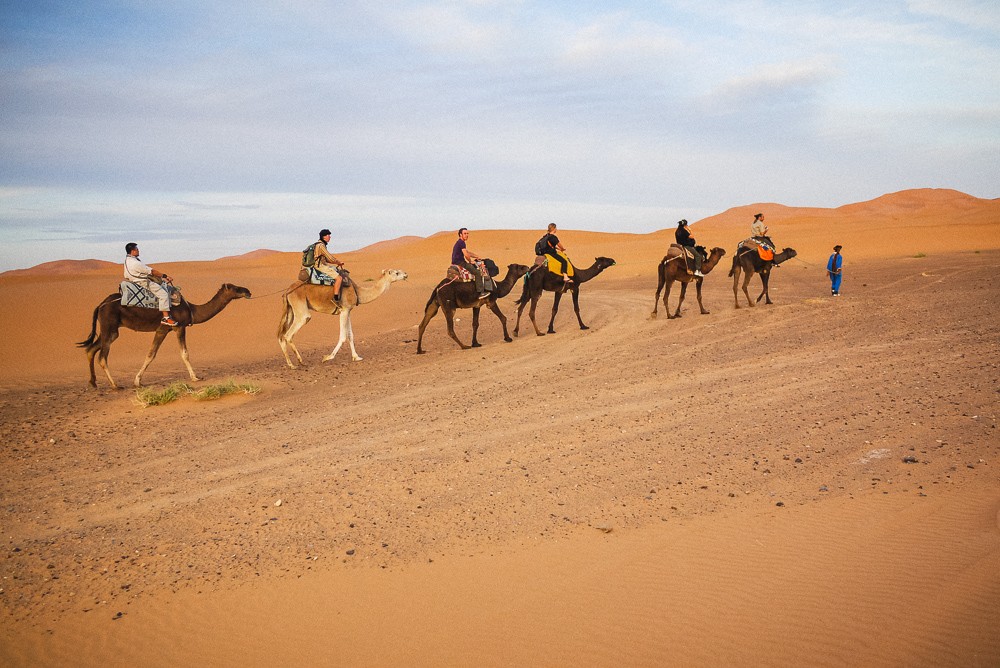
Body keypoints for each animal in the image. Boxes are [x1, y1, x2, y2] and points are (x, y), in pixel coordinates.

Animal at [76, 280, 252, 386]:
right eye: (236, 288)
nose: (248, 291)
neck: (191, 309)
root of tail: (100, 305)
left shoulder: (163, 329)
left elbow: (151, 354)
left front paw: (137, 381)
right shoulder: (178, 327)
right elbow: (183, 354)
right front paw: (195, 377)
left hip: (109, 329)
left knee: (90, 349)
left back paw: (93, 382)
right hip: (109, 326)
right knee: (102, 356)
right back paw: (115, 385)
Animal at [278, 268, 406, 370]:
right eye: (396, 272)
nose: (406, 274)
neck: (357, 291)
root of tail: (288, 290)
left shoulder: (348, 311)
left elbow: (350, 335)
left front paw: (356, 357)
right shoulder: (344, 310)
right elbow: (343, 336)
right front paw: (328, 357)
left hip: (290, 310)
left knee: (282, 336)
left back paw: (291, 364)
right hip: (301, 310)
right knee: (289, 334)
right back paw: (299, 362)